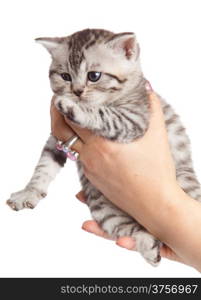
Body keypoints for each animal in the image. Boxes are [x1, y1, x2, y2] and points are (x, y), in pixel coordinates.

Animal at [6, 29, 201, 266]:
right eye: (65, 76)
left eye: (94, 76)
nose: (77, 92)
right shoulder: (57, 140)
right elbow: (43, 167)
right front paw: (28, 192)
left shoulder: (135, 119)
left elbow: (104, 115)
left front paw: (72, 106)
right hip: (105, 211)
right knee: (135, 229)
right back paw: (149, 248)